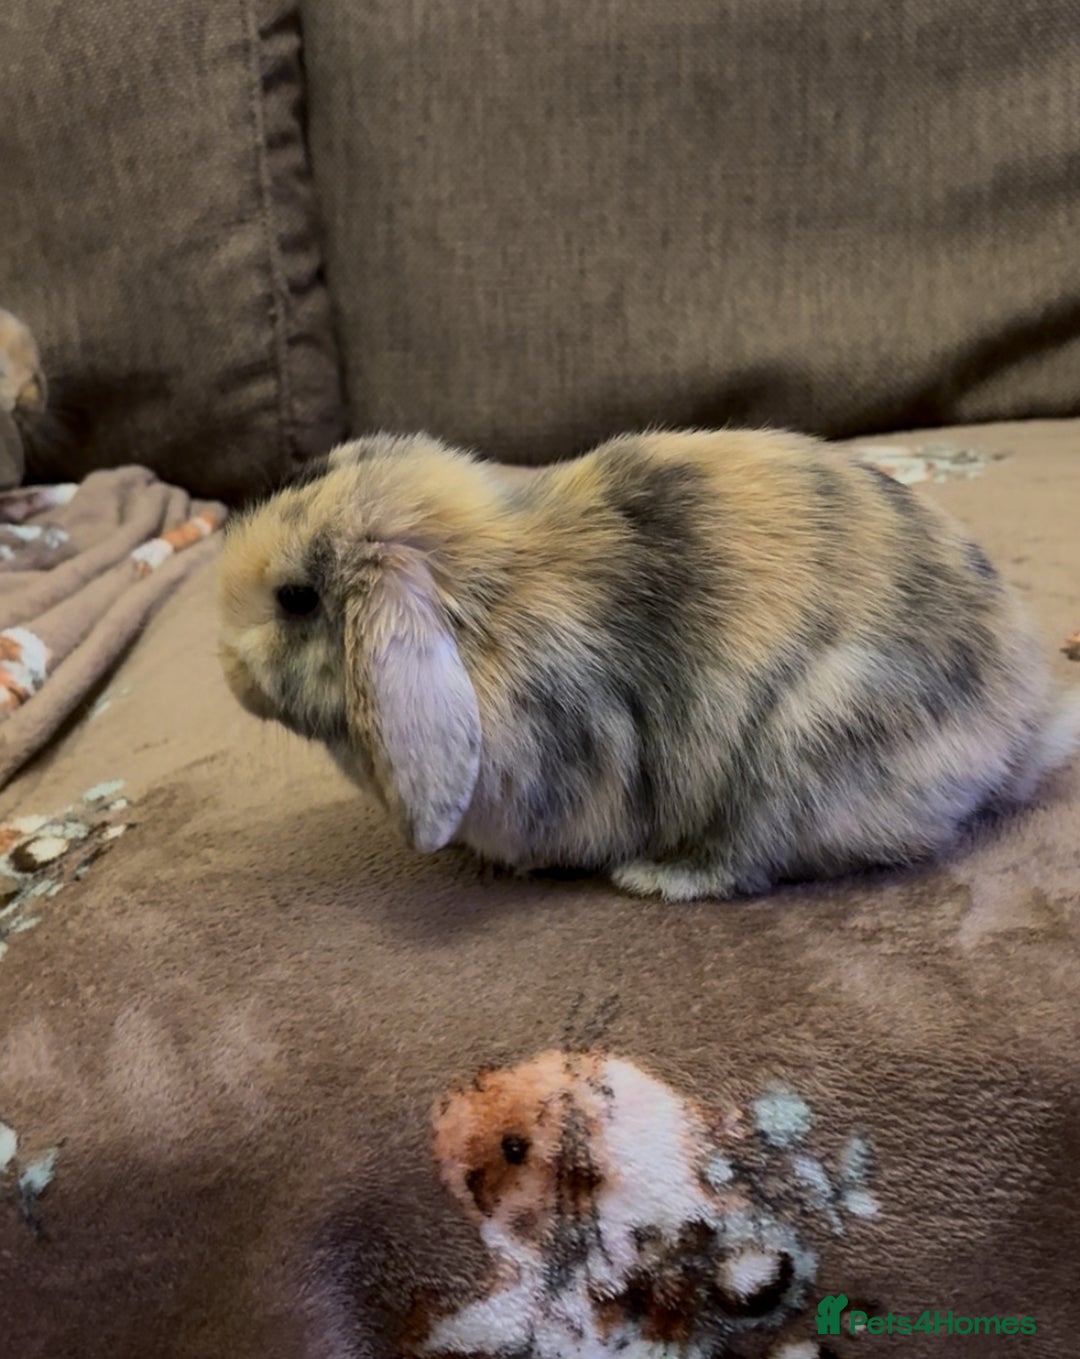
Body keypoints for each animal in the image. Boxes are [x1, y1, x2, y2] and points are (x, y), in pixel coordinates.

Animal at [216, 428, 1080, 901]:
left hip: (803, 747)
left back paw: (655, 877)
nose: (227, 672)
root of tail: (1024, 728)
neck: (479, 608)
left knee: (749, 860)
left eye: (296, 599)